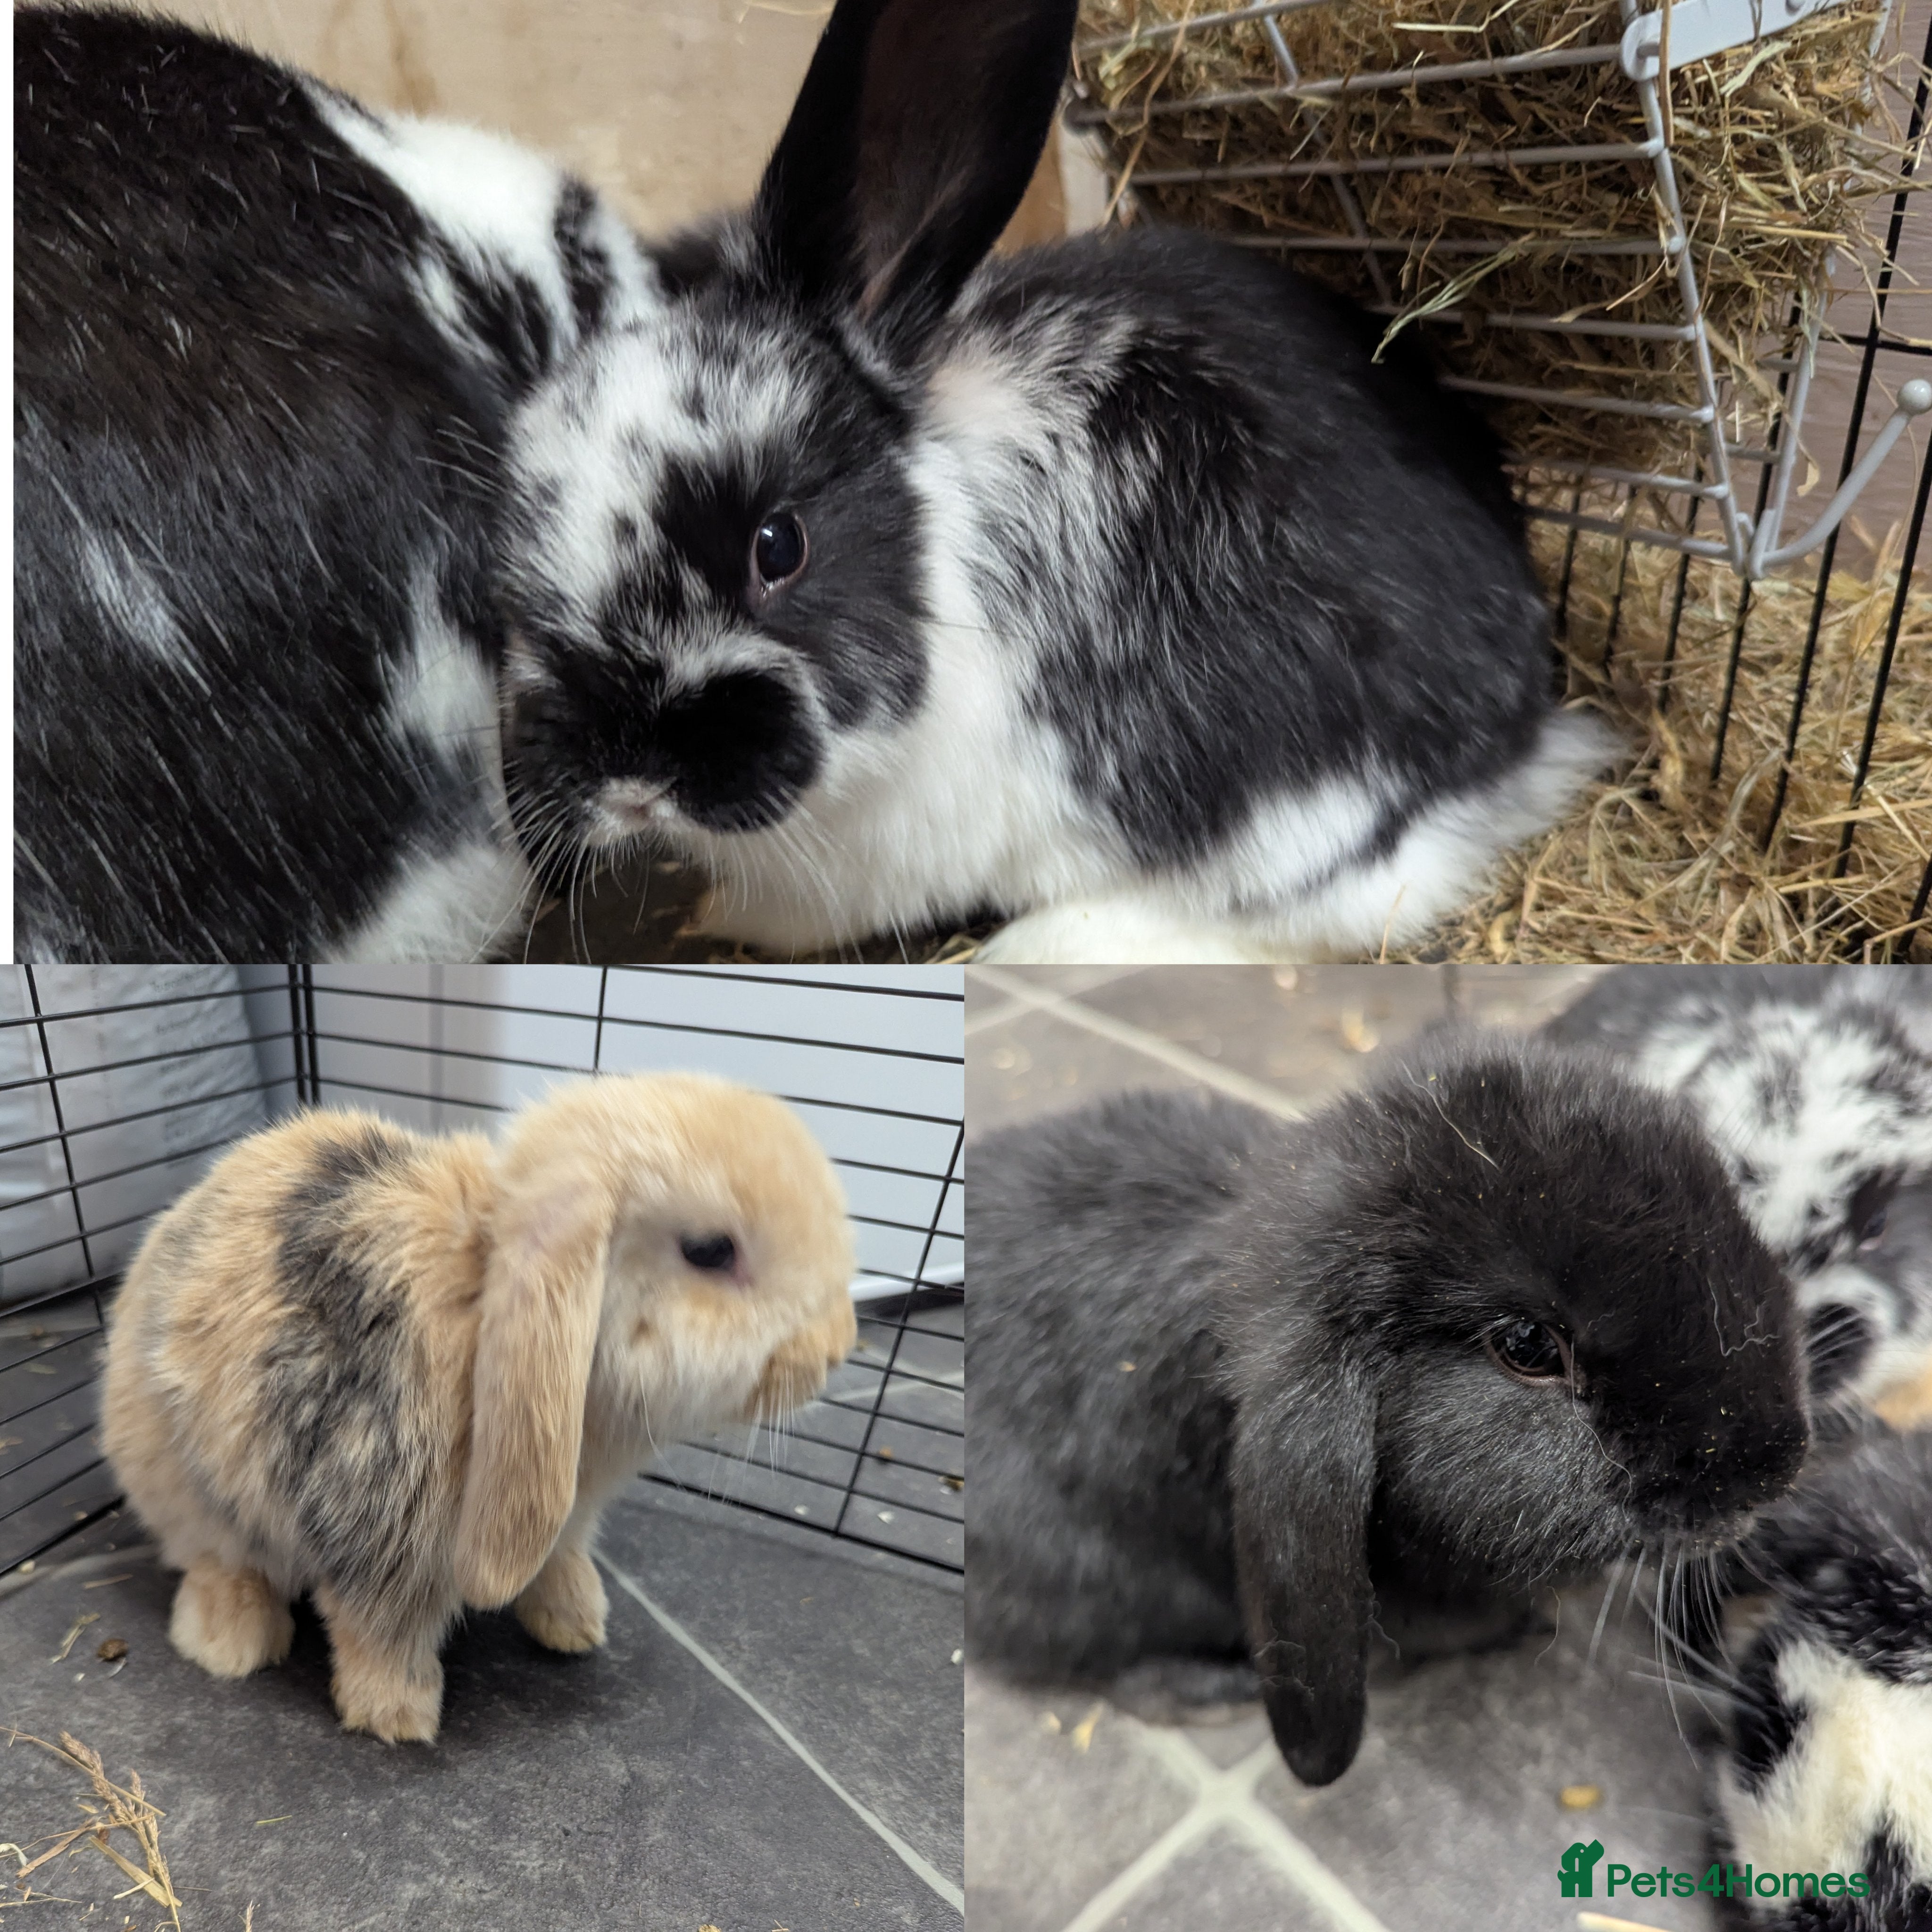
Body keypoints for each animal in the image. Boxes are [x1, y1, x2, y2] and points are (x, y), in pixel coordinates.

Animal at [100, 1073, 856, 1742]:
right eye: (709, 1250)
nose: (839, 1347)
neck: (481, 1289)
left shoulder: (565, 1513)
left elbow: (561, 1558)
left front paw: (577, 1624)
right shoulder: (376, 1515)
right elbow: (381, 1628)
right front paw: (397, 1716)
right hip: (187, 1491)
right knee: (215, 1557)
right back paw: (232, 1641)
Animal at [492, 0, 1617, 967]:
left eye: (779, 546)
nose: (632, 781)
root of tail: (1531, 694)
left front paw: (725, 916)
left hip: (1295, 801)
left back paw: (1043, 942)